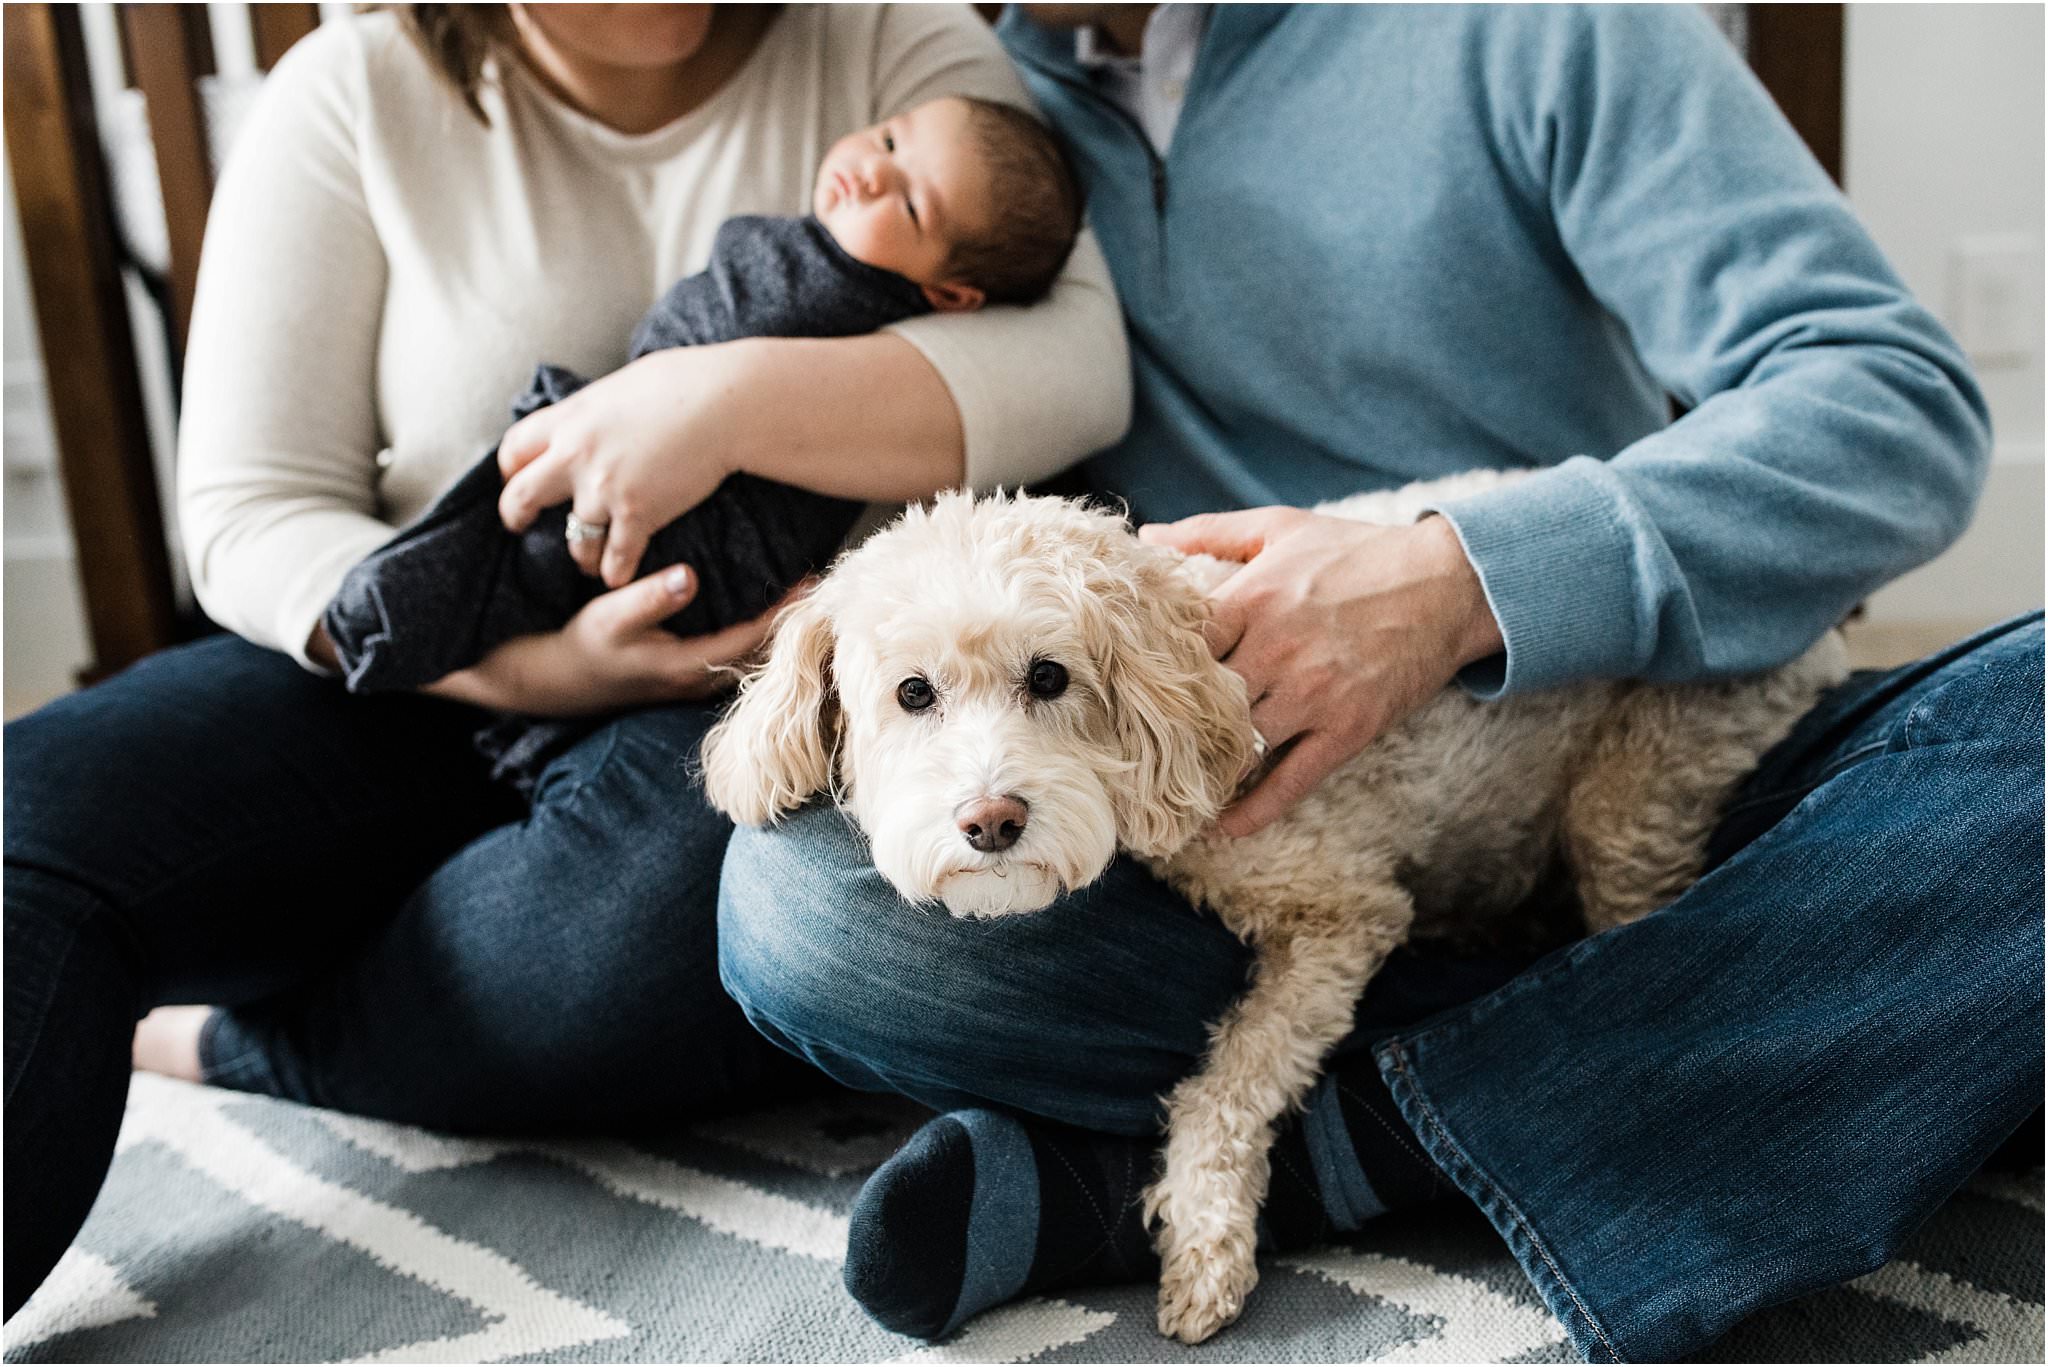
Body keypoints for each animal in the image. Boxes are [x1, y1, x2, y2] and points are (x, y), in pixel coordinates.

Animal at [696, 479, 1851, 1344]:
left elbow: (1227, 1082)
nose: (991, 821)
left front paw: (1204, 1241)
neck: (1192, 673)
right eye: (912, 695)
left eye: (1050, 676)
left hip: (1634, 794)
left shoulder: (1340, 913)